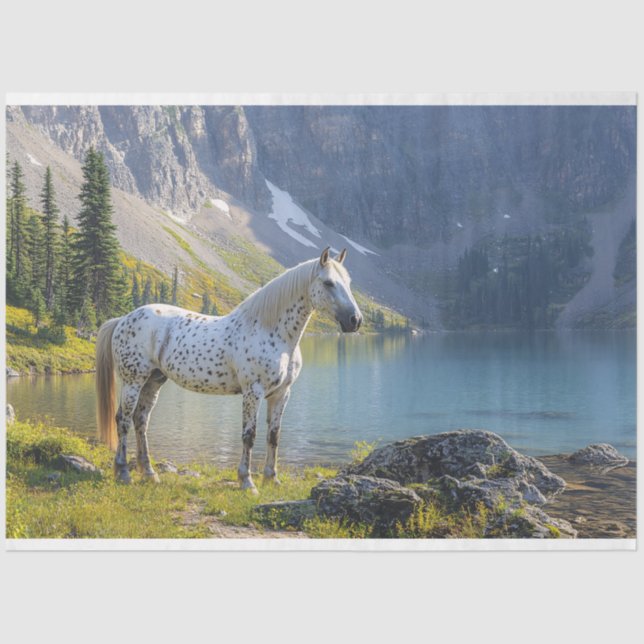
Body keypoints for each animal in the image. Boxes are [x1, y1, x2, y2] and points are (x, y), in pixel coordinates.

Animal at [95, 246, 362, 492]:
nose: (355, 320)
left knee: (141, 420)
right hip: (133, 381)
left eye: (349, 283)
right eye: (328, 282)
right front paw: (247, 482)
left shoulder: (281, 394)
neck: (271, 331)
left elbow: (273, 435)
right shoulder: (253, 391)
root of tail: (122, 319)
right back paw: (124, 472)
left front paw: (271, 479)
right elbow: (249, 435)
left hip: (154, 380)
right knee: (123, 420)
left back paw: (150, 473)